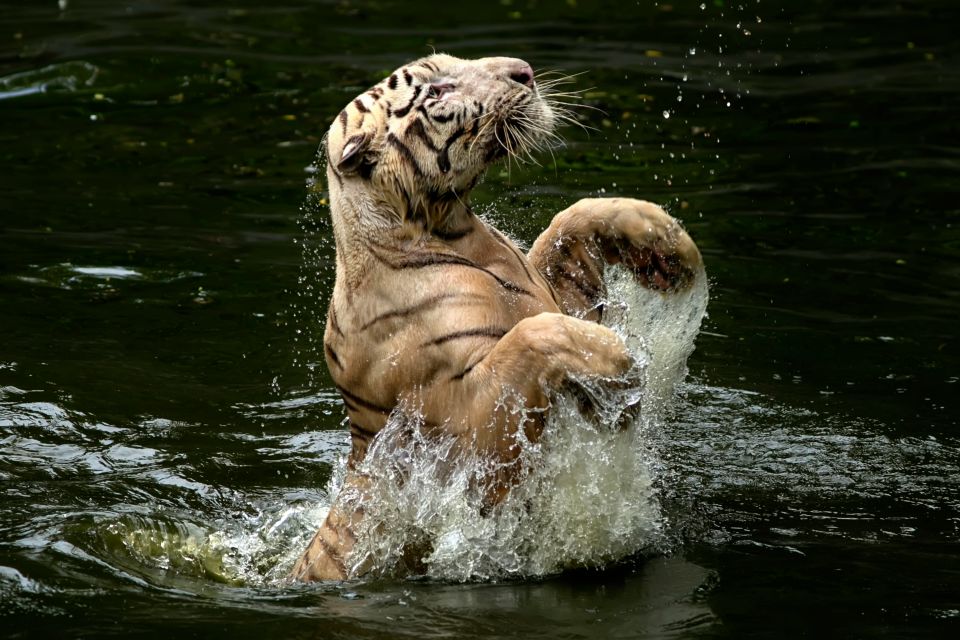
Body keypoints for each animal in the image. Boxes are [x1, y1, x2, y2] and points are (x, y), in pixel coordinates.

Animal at [292, 53, 704, 580]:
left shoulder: (555, 293)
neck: (451, 227)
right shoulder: (465, 434)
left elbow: (572, 219)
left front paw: (667, 243)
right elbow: (534, 335)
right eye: (436, 91)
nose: (524, 71)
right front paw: (621, 373)